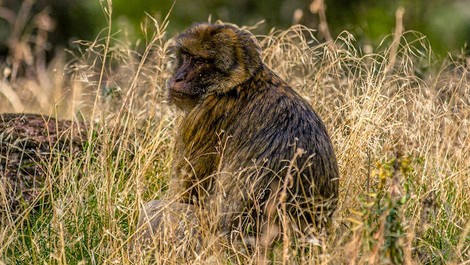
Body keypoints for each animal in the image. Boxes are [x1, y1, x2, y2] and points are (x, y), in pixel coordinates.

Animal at [134, 23, 340, 256]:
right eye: (186, 56)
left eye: (200, 61)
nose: (178, 77)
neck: (235, 85)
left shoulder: (203, 118)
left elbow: (185, 193)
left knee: (158, 211)